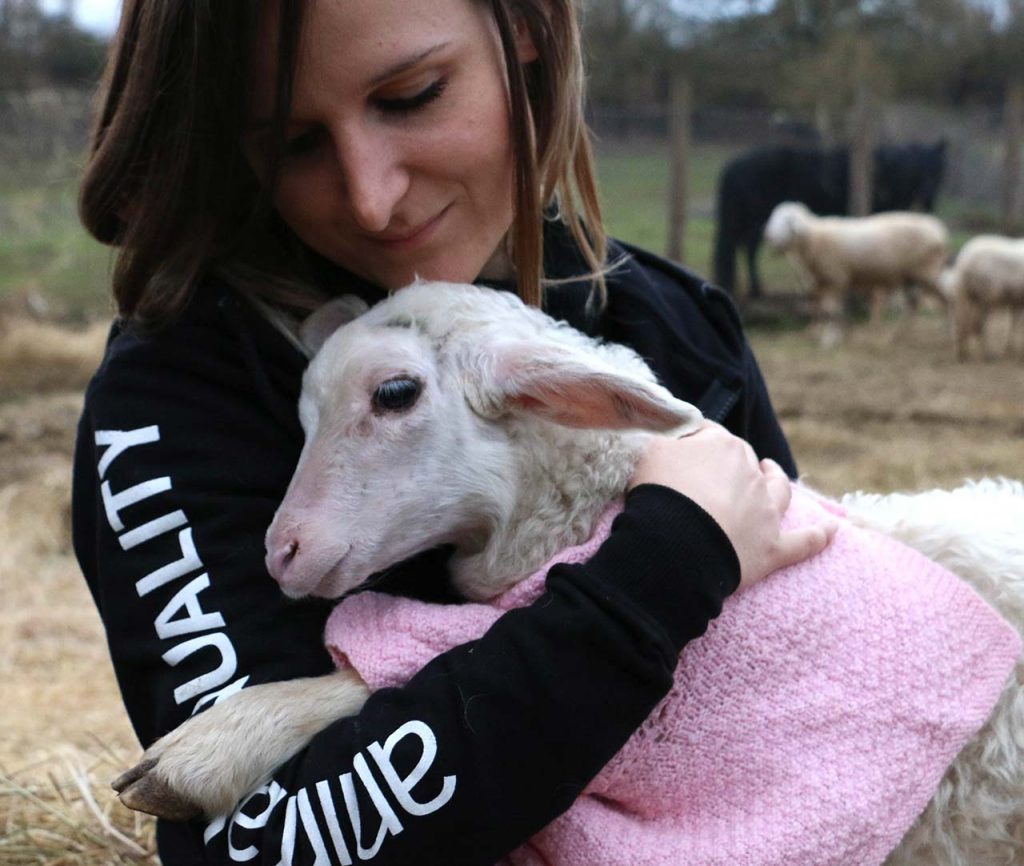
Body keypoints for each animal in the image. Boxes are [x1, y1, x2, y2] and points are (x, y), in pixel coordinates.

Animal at [716, 139, 946, 294]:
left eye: (938, 169)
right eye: (917, 170)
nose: (929, 195)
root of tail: (731, 167)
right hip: (754, 221)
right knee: (748, 249)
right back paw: (756, 290)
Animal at [765, 203, 946, 350]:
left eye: (787, 220)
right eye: (773, 217)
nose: (768, 236)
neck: (814, 239)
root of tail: (937, 230)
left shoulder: (835, 279)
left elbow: (832, 311)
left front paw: (829, 340)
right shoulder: (824, 283)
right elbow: (829, 311)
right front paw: (837, 336)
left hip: (927, 272)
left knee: (945, 297)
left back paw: (948, 333)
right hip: (911, 277)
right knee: (912, 306)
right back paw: (896, 337)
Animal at [937, 234, 1024, 362]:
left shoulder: (1014, 301)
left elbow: (1014, 325)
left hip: (977, 298)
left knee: (970, 325)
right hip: (984, 298)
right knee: (977, 326)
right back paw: (986, 354)